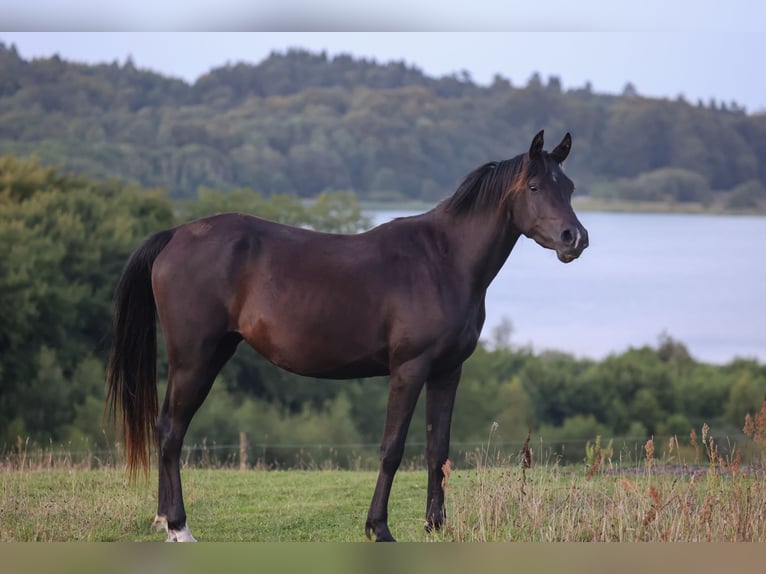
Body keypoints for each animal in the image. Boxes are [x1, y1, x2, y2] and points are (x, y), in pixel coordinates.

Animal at [106, 130, 589, 542]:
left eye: (569, 187)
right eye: (534, 188)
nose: (576, 238)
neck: (442, 261)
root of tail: (175, 235)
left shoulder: (448, 371)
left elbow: (439, 449)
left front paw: (435, 526)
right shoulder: (409, 370)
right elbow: (392, 449)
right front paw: (379, 528)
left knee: (166, 428)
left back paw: (163, 519)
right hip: (195, 359)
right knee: (171, 431)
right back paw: (178, 526)